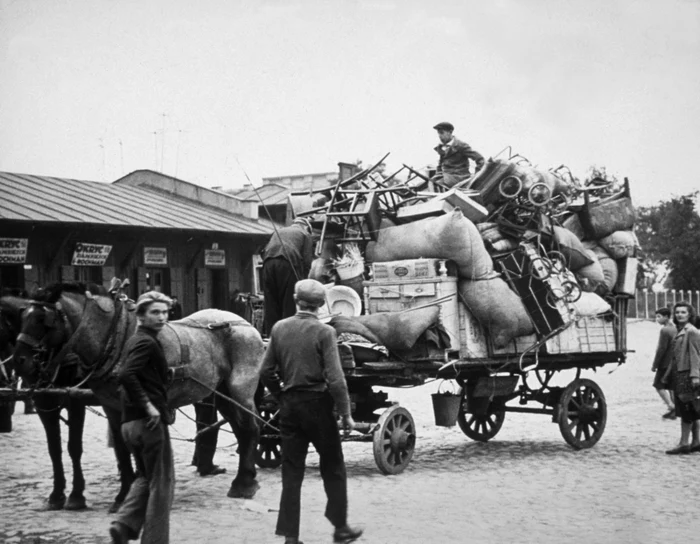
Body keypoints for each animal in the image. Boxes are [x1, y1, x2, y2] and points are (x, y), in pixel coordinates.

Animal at [13, 284, 266, 506]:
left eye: (42, 320)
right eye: (22, 316)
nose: (19, 360)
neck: (117, 339)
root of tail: (244, 324)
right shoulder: (113, 407)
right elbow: (122, 449)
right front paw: (124, 494)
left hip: (240, 390)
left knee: (251, 429)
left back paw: (243, 483)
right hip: (221, 392)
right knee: (240, 430)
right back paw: (246, 477)